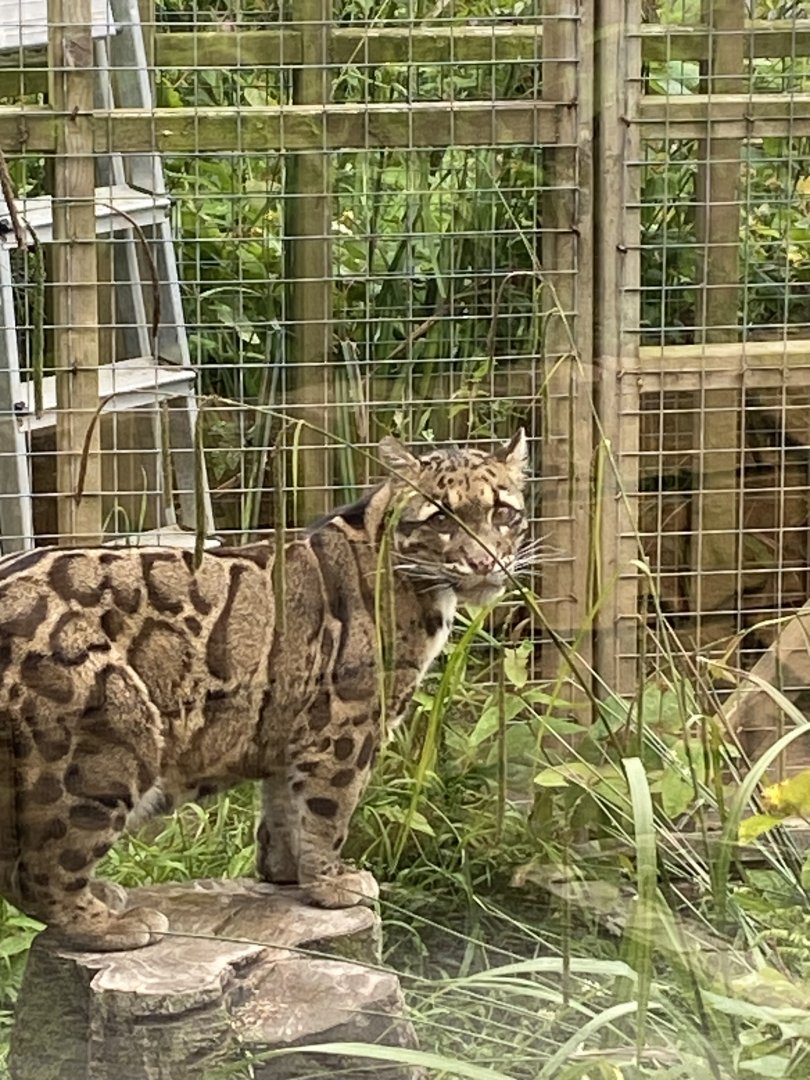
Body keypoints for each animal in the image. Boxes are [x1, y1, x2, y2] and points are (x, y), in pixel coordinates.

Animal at [0, 431, 530, 950]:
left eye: (502, 512)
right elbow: (328, 810)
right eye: (440, 518)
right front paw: (332, 883)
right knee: (38, 872)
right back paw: (106, 923)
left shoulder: (293, 723)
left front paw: (287, 873)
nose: (484, 561)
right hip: (108, 742)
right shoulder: (347, 725)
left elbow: (285, 808)